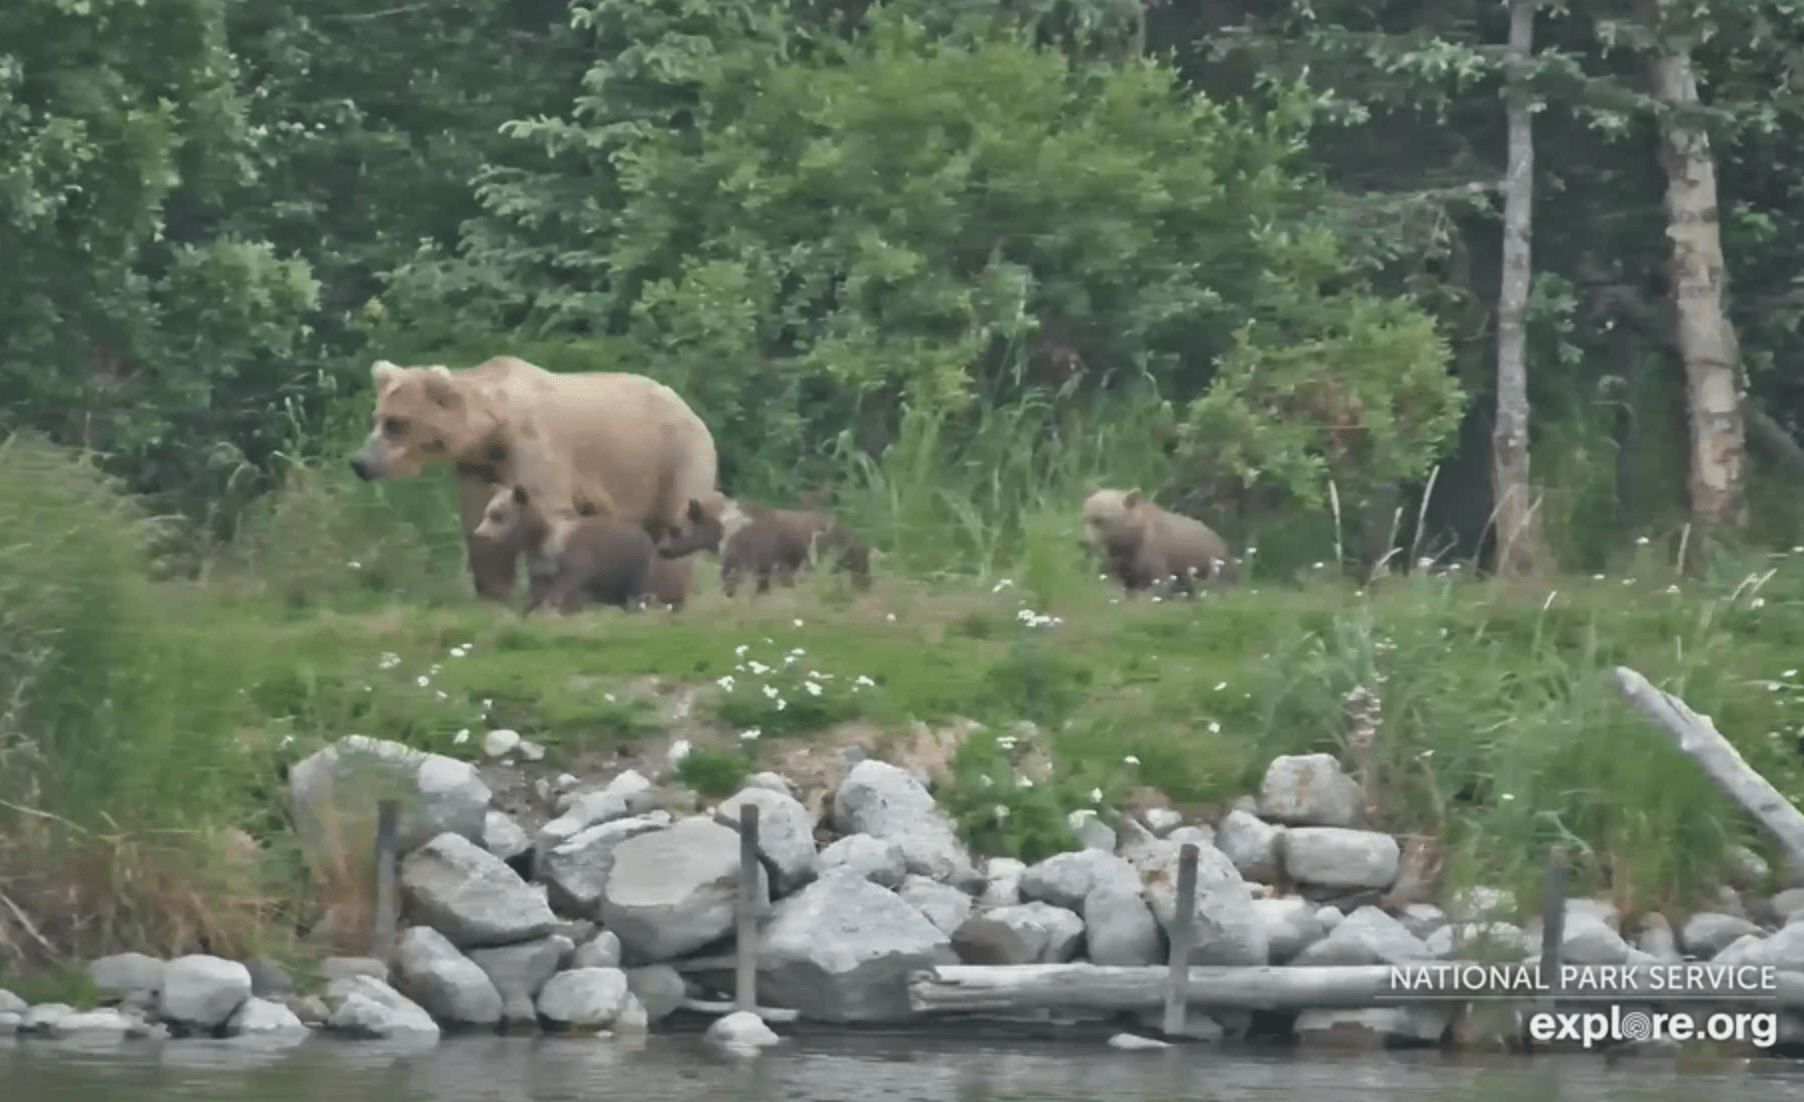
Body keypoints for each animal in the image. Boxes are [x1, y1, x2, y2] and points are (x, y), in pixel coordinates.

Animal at [472, 483, 658, 614]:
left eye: (498, 515)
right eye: (487, 512)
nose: (479, 534)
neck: (538, 540)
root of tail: (645, 534)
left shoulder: (573, 556)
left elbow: (568, 583)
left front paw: (553, 610)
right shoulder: (539, 566)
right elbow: (537, 592)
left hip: (634, 564)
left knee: (636, 591)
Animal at [1080, 487, 1235, 597]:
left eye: (1099, 520)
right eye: (1085, 517)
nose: (1083, 542)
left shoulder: (1155, 553)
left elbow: (1159, 582)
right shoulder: (1121, 558)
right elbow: (1118, 578)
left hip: (1212, 565)